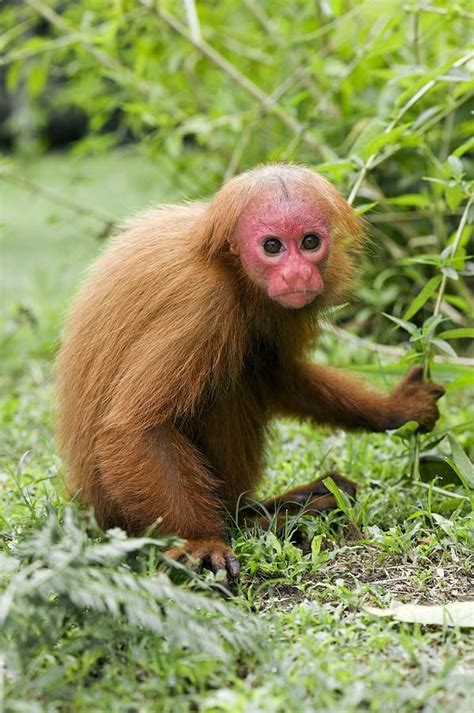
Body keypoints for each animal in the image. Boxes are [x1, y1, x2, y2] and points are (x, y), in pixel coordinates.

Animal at [56, 165, 444, 580]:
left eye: (310, 242)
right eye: (272, 247)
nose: (297, 274)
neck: (230, 269)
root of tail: (89, 510)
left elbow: (278, 377)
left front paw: (396, 410)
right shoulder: (202, 306)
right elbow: (135, 427)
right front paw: (202, 542)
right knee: (226, 386)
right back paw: (259, 517)